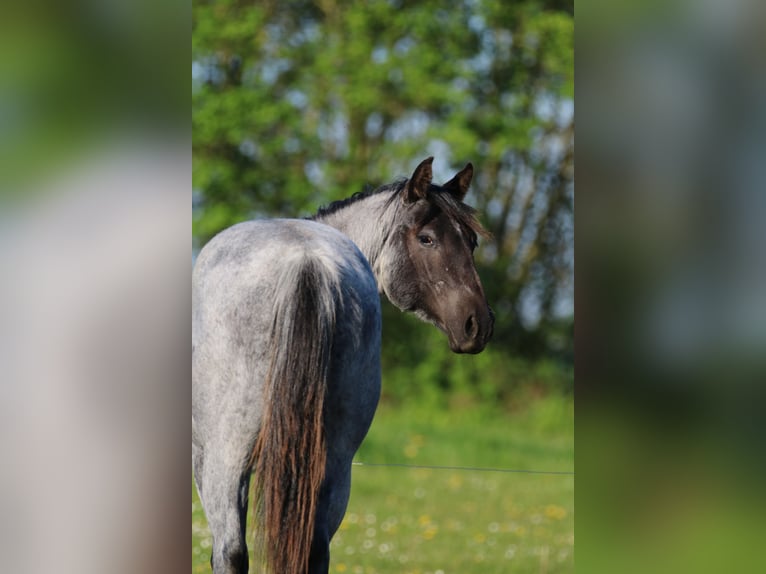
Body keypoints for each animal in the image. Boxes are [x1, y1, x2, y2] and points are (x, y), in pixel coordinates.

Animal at [189, 158, 496, 574]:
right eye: (427, 238)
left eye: (471, 242)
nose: (478, 324)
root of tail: (304, 260)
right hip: (334, 464)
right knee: (315, 549)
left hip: (226, 460)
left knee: (232, 551)